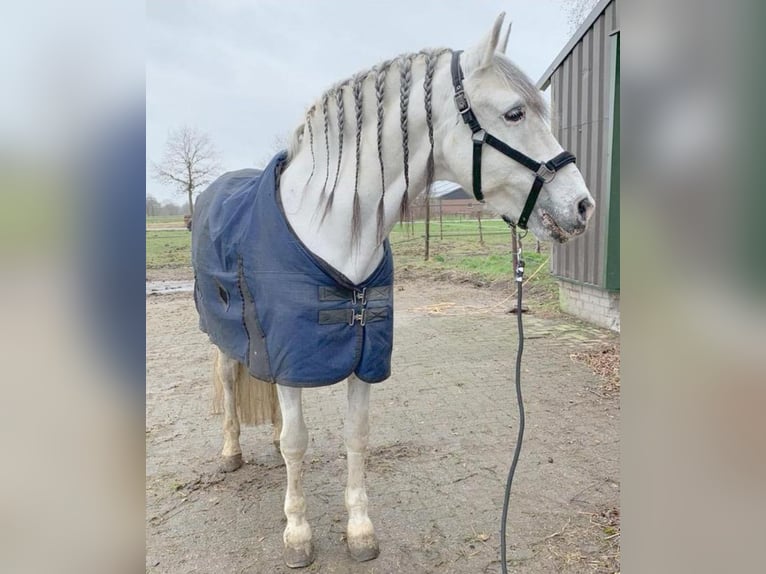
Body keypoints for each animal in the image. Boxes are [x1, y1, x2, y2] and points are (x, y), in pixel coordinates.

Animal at [190, 13, 592, 572]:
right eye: (515, 113)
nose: (582, 206)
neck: (334, 232)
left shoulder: (362, 358)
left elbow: (355, 436)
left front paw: (360, 530)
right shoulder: (291, 357)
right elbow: (298, 443)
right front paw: (297, 533)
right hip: (223, 333)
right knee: (230, 380)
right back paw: (231, 453)